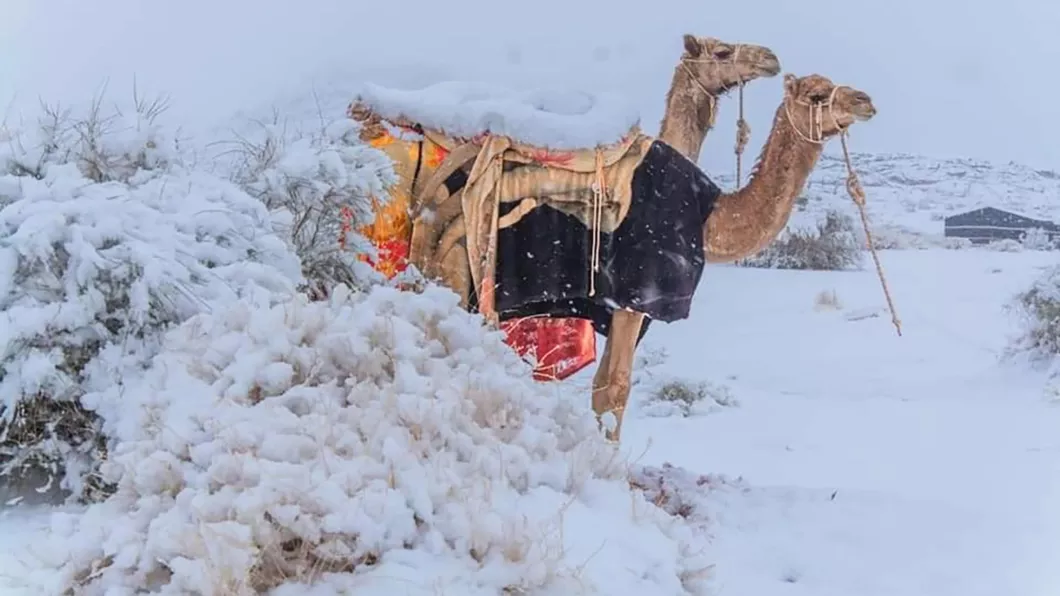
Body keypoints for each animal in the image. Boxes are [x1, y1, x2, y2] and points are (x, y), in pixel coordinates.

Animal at [597, 72, 877, 439]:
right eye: (817, 95)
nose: (865, 101)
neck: (705, 214)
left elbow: (600, 388)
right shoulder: (634, 293)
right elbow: (615, 390)